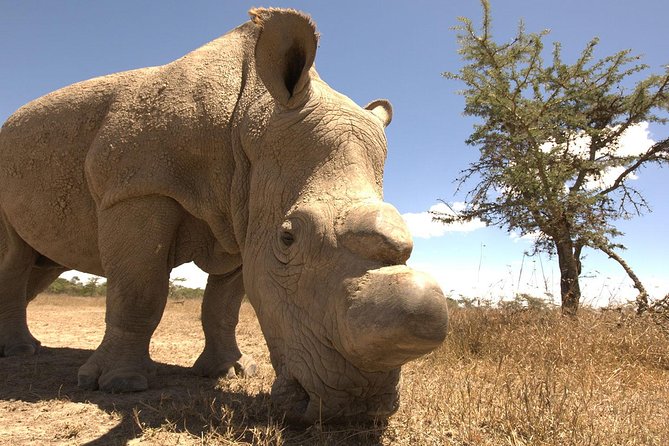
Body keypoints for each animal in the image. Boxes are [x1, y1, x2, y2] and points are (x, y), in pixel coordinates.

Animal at [0, 8, 449, 424]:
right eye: (288, 238)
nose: (353, 409)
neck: (252, 122)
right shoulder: (137, 189)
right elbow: (138, 291)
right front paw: (118, 385)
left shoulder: (244, 217)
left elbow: (223, 306)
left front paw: (230, 371)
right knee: (14, 260)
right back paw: (20, 352)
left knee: (42, 263)